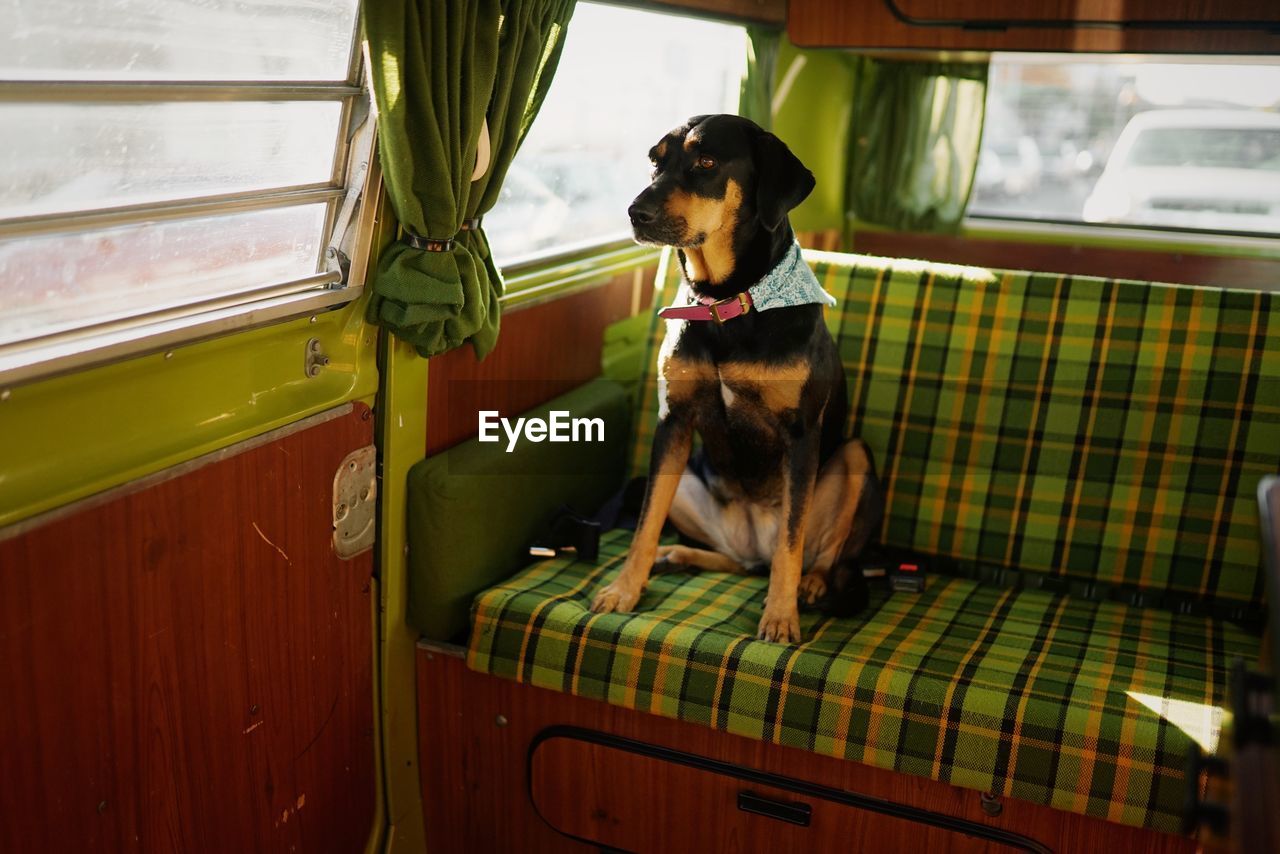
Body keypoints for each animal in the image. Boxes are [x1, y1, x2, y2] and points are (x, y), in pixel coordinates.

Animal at [591, 113, 885, 640]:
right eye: (655, 160)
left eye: (707, 162)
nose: (634, 212)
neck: (726, 302)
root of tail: (753, 543)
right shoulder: (673, 422)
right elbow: (644, 525)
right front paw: (624, 590)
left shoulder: (801, 435)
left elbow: (792, 541)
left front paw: (781, 618)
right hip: (686, 480)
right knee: (734, 558)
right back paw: (678, 553)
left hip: (854, 456)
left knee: (822, 552)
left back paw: (811, 583)